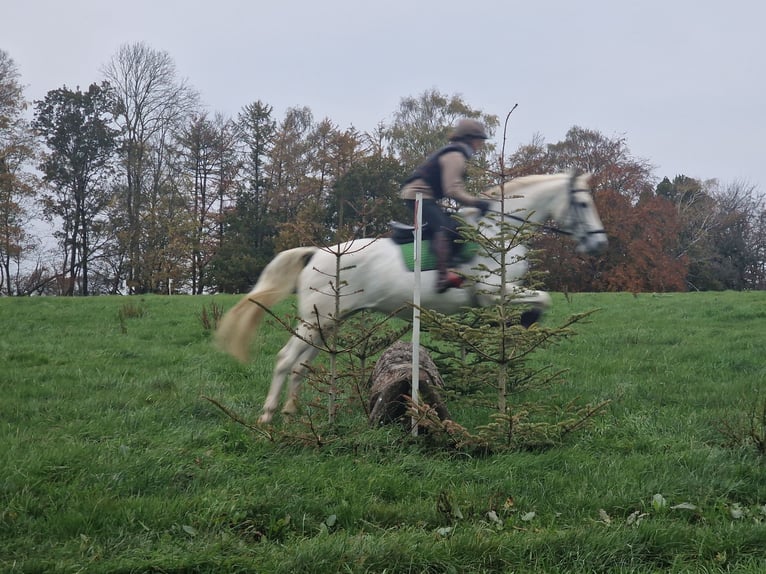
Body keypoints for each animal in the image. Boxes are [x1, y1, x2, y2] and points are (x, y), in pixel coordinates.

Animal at [219, 171, 608, 424]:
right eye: (582, 203)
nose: (600, 243)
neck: (499, 230)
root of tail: (317, 253)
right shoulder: (492, 292)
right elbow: (543, 298)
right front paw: (527, 321)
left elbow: (540, 299)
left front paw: (519, 326)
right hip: (316, 320)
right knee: (286, 359)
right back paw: (267, 416)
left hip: (328, 322)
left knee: (301, 364)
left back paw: (290, 412)